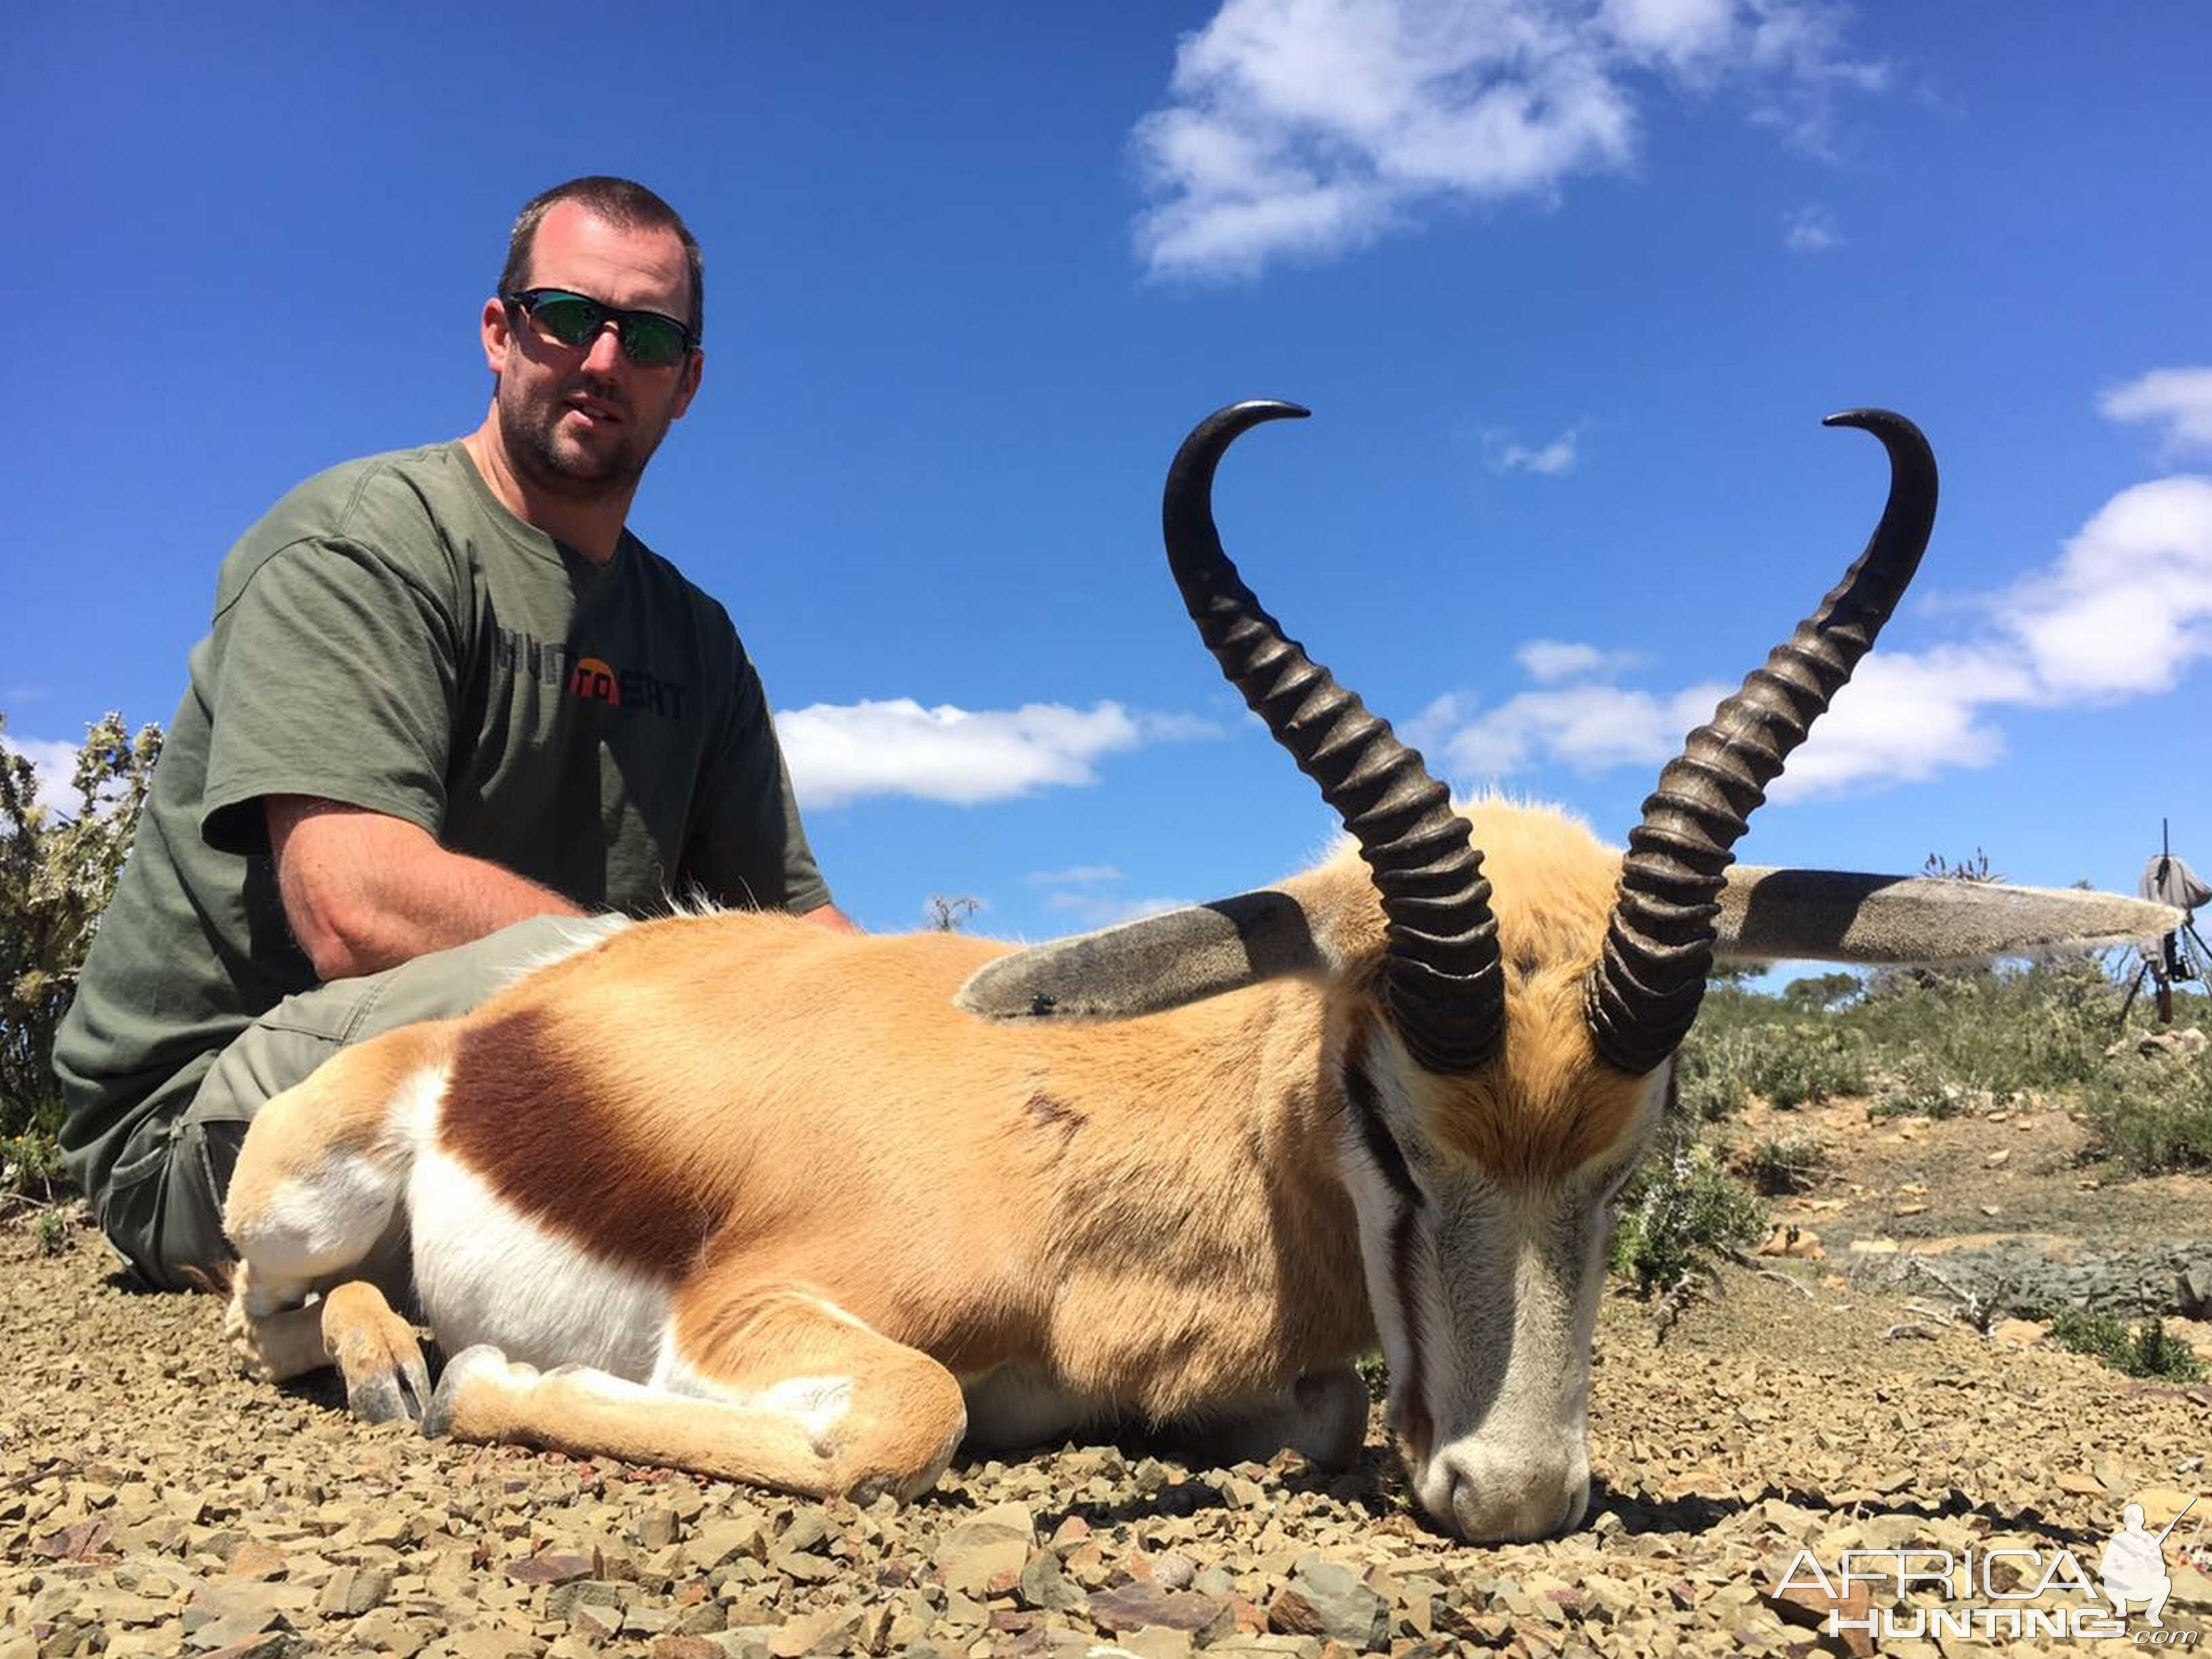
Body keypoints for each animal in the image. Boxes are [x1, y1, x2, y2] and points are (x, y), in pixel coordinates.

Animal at [224, 403, 2176, 1548]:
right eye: (1394, 1133)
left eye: (1638, 1154)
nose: (1516, 1496)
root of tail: (511, 1016)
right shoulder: (760, 1313)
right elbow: (915, 1415)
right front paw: (481, 1383)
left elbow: (1313, 1415)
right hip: (299, 1202)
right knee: (273, 1307)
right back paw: (400, 1357)